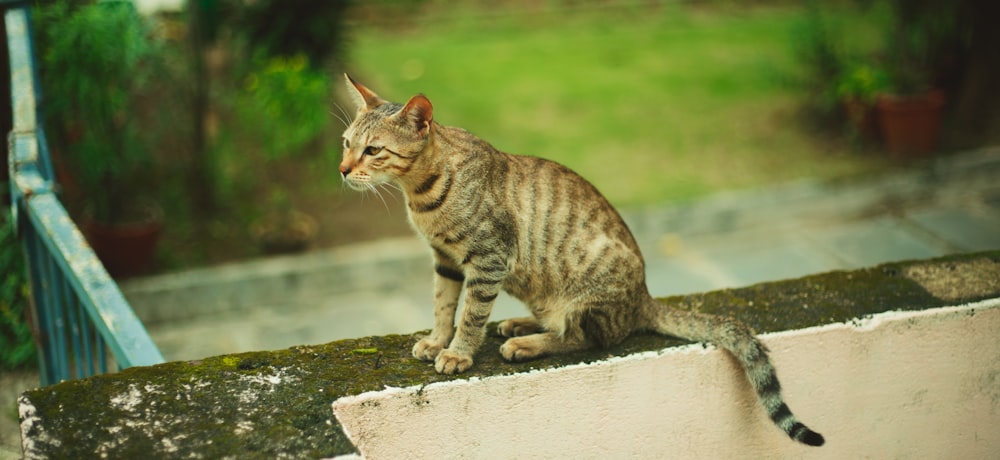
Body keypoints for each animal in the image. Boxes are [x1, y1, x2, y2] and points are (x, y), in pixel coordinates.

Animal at [340, 75, 824, 446]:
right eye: (346, 143)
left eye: (373, 150)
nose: (342, 169)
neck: (421, 194)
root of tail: (643, 299)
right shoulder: (445, 259)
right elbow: (443, 305)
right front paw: (438, 340)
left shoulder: (489, 259)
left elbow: (470, 316)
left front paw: (458, 353)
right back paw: (520, 325)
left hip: (587, 297)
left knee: (584, 338)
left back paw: (526, 343)